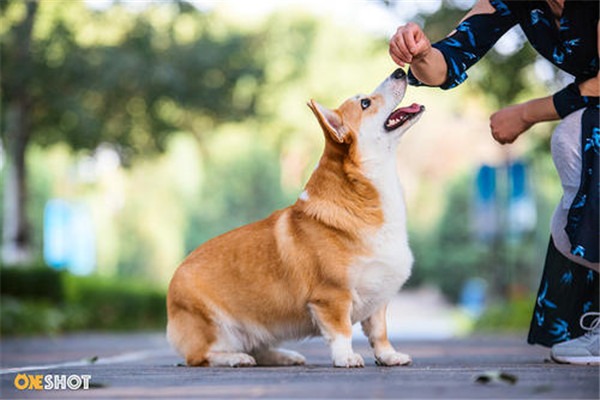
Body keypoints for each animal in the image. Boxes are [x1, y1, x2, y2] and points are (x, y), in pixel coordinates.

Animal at [166, 69, 424, 368]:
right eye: (365, 103)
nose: (400, 71)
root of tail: (171, 285)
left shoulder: (378, 299)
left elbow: (379, 333)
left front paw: (389, 356)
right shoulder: (332, 298)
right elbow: (342, 332)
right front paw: (346, 357)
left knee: (258, 349)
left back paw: (285, 356)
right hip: (216, 327)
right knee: (200, 357)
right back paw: (235, 358)